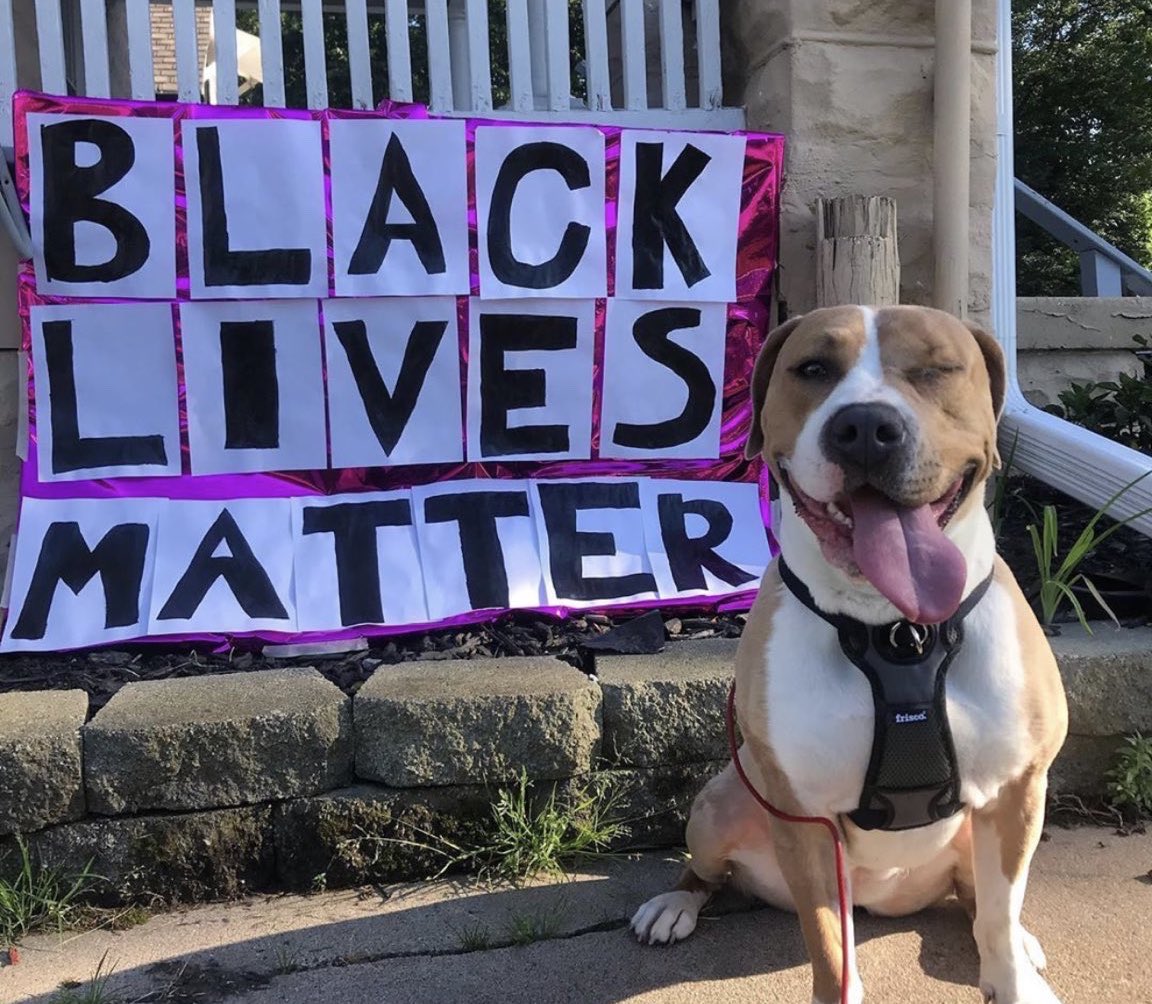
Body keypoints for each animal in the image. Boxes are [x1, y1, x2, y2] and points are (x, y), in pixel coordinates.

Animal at [635, 306, 1064, 1004]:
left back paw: (1022, 941)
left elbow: (999, 915)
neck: (897, 630)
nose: (865, 427)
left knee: (980, 900)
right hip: (722, 801)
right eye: (813, 368)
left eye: (938, 368)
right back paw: (674, 905)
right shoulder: (806, 818)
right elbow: (830, 948)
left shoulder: (1017, 792)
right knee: (705, 872)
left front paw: (1013, 977)